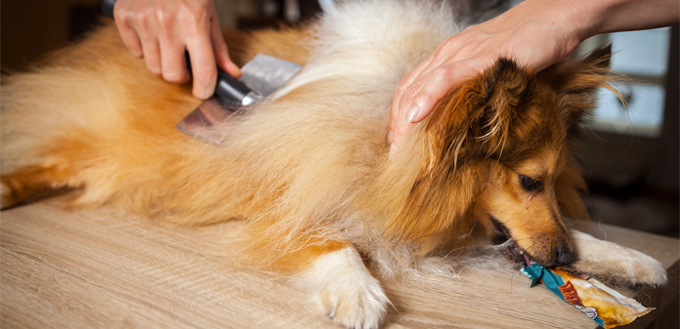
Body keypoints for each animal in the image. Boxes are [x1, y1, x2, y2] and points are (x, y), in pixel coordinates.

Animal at [0, 0, 668, 328]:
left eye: (551, 182)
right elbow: (328, 237)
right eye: (528, 180)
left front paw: (631, 260)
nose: (562, 260)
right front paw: (357, 294)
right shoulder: (291, 191)